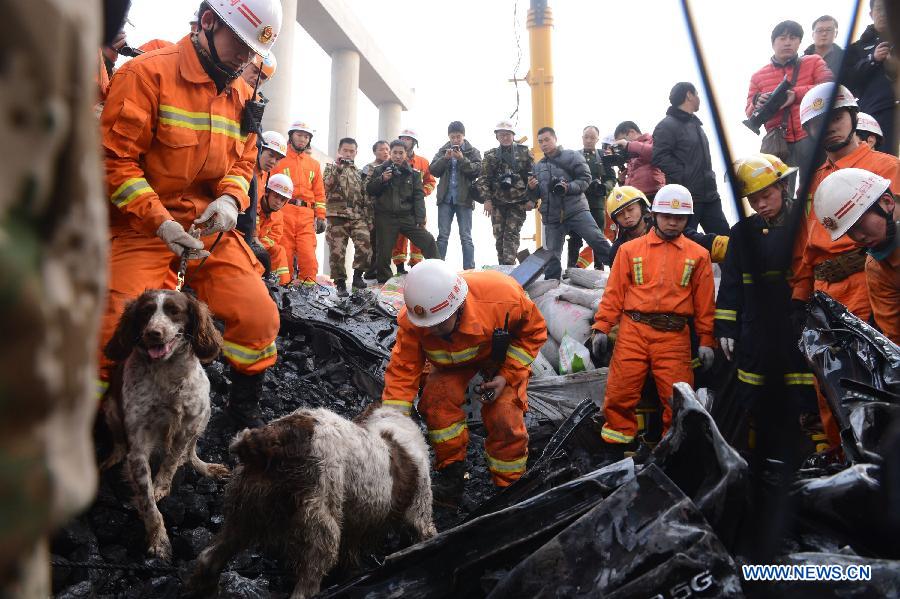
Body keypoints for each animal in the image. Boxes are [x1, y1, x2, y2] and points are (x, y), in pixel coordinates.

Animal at [100, 290, 230, 564]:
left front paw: (162, 485)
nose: (154, 333)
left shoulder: (188, 424)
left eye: (174, 311)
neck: (167, 373)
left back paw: (207, 468)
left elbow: (172, 460)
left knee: (190, 453)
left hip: (206, 413)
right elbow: (148, 502)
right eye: (145, 312)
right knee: (118, 442)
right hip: (111, 410)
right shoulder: (138, 447)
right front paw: (159, 541)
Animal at [192, 406, 438, 596]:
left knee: (208, 558)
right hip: (320, 526)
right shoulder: (419, 513)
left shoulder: (355, 528)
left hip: (247, 510)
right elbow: (424, 530)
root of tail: (276, 439)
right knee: (307, 583)